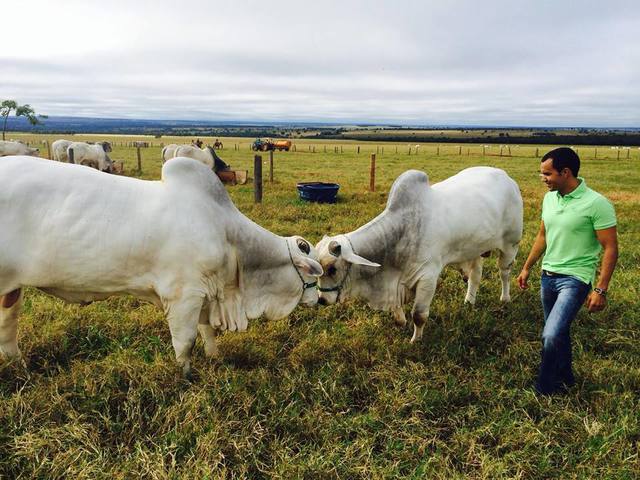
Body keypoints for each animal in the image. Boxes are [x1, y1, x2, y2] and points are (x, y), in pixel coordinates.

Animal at [0, 156, 322, 376]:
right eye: (306, 252)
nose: (318, 299)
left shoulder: (204, 294)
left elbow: (207, 331)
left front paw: (214, 358)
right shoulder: (184, 296)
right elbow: (185, 342)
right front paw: (185, 377)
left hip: (11, 288)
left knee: (8, 324)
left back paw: (18, 365)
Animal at [318, 167, 524, 344]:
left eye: (333, 269)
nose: (321, 300)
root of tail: (507, 178)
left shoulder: (428, 277)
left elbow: (419, 315)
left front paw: (415, 340)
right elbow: (398, 313)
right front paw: (401, 323)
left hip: (510, 244)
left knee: (504, 273)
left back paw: (505, 298)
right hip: (474, 249)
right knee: (475, 276)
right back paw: (469, 301)